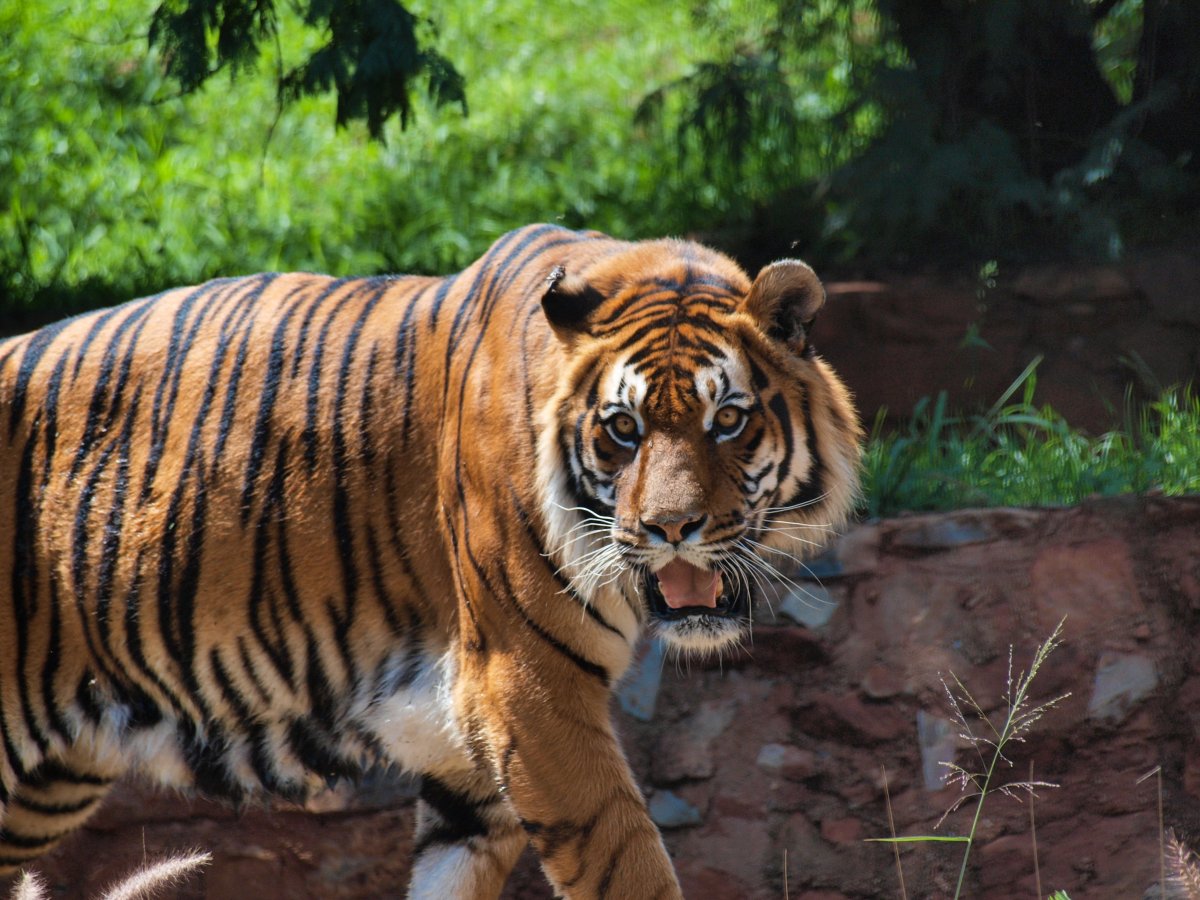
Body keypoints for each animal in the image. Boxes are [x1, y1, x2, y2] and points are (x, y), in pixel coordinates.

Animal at [0, 224, 864, 897]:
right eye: (623, 429)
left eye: (729, 421)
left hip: (50, 777)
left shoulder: (469, 756)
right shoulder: (528, 690)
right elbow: (630, 867)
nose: (670, 527)